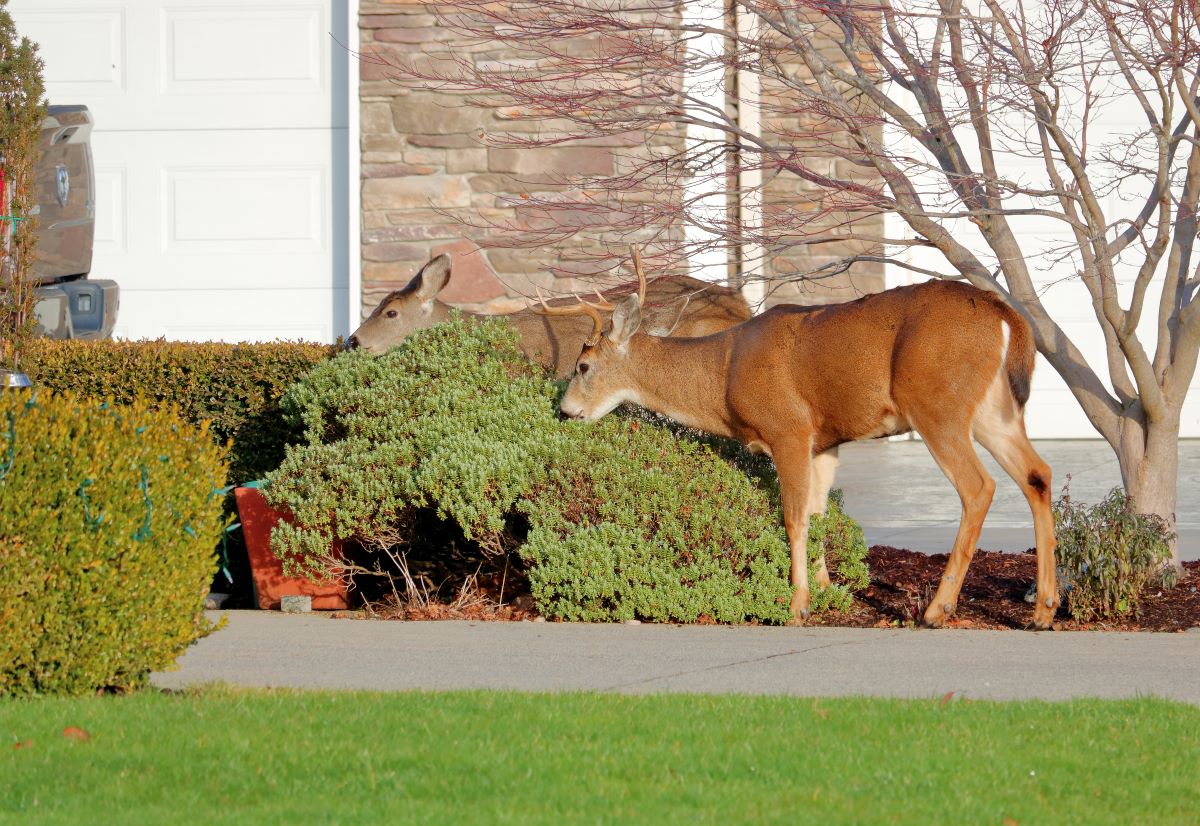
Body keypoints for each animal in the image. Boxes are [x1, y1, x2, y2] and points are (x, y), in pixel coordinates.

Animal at [552, 273, 1060, 629]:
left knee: (979, 486)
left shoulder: (788, 429)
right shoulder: (825, 442)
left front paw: (796, 606)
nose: (564, 410)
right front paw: (826, 592)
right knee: (1038, 474)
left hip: (937, 403)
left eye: (583, 365)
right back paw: (1043, 610)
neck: (722, 374)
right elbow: (817, 515)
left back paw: (939, 609)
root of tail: (1005, 315)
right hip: (995, 410)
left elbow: (793, 516)